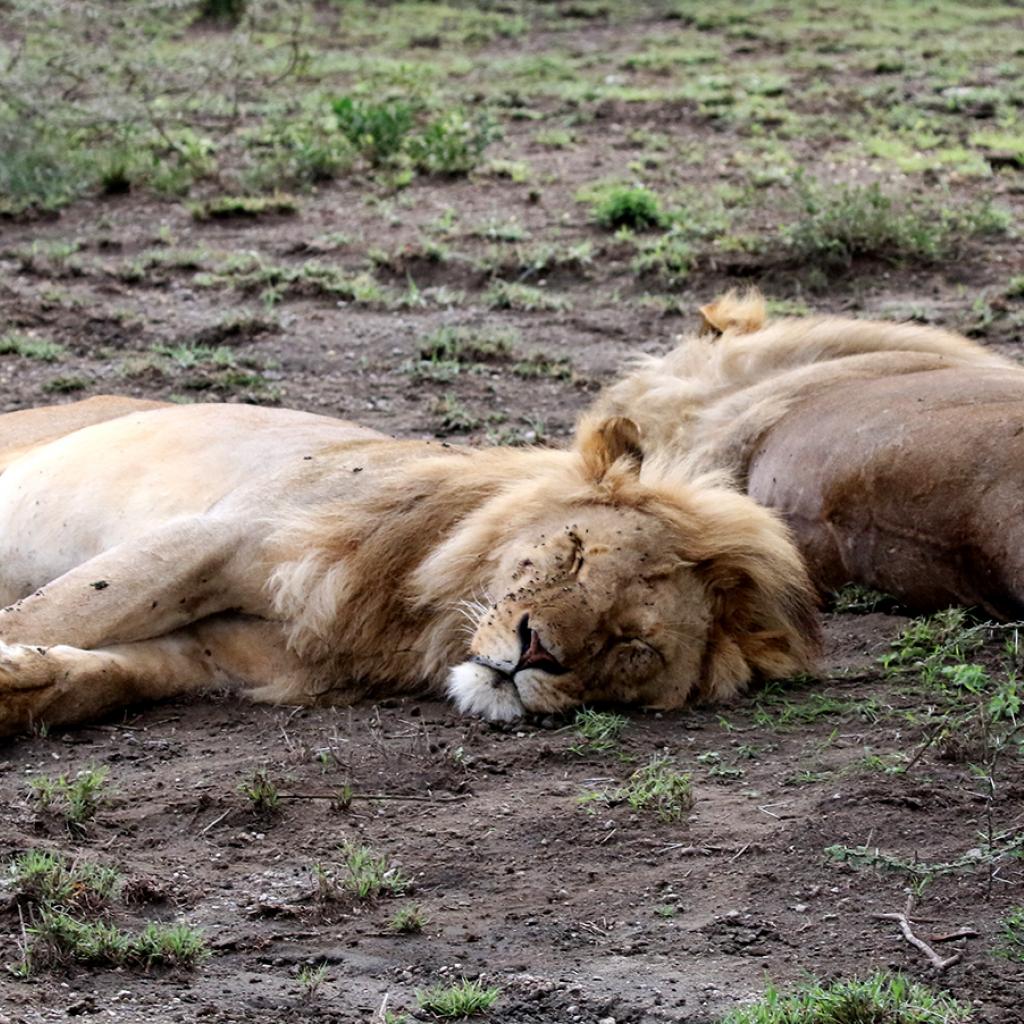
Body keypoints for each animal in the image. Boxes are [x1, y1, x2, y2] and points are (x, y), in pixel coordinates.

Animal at [0, 399, 815, 737]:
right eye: (575, 551)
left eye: (632, 644)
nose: (534, 652)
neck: (411, 614)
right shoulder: (216, 538)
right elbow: (64, 610)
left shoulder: (216, 656)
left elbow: (98, 677)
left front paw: (24, 682)